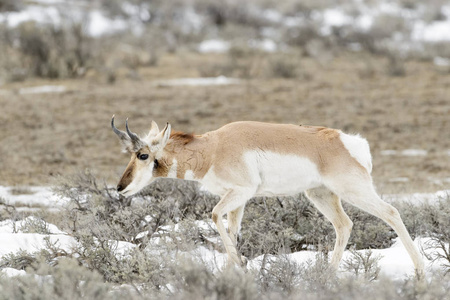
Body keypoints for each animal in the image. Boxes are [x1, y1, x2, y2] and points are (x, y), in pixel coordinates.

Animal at [110, 117, 424, 276]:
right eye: (130, 153)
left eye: (143, 155)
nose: (120, 188)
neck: (214, 148)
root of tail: (350, 142)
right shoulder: (237, 199)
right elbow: (232, 231)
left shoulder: (240, 192)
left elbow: (214, 215)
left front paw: (240, 266)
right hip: (321, 195)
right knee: (344, 225)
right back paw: (327, 276)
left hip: (353, 191)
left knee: (391, 213)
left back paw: (420, 271)